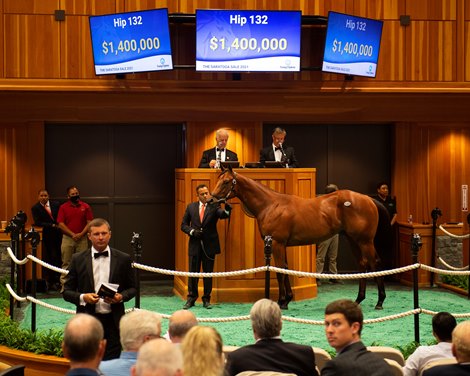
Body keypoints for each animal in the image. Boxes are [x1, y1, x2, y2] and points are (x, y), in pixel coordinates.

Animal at [209, 167, 390, 308]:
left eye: (226, 182)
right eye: (218, 180)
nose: (211, 199)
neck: (271, 205)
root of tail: (368, 199)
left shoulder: (277, 243)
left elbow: (280, 271)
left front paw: (281, 301)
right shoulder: (280, 245)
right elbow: (285, 268)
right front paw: (287, 300)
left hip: (365, 241)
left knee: (374, 263)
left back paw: (380, 301)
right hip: (354, 241)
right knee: (363, 264)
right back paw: (359, 299)